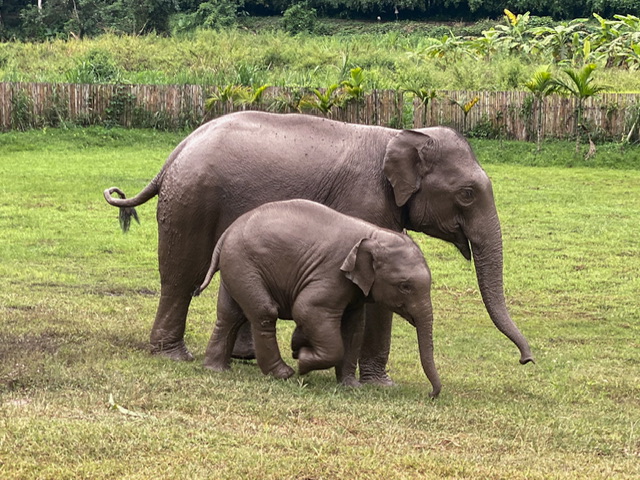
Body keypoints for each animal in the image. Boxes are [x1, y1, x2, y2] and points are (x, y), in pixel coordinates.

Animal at [195, 199, 442, 398]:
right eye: (405, 286)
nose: (431, 395)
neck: (373, 234)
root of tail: (227, 233)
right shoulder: (331, 274)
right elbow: (307, 309)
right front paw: (302, 360)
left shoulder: (353, 290)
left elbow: (354, 327)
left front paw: (351, 386)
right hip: (245, 265)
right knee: (264, 312)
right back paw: (283, 373)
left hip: (235, 266)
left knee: (230, 315)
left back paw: (215, 369)